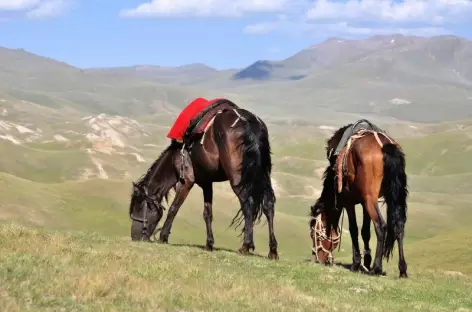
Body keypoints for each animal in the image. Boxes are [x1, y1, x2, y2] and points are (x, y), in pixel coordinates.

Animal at [127, 98, 278, 260]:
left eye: (139, 207)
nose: (134, 237)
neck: (175, 158)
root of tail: (248, 121)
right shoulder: (206, 183)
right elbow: (207, 213)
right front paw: (209, 244)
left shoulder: (187, 181)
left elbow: (174, 208)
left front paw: (163, 237)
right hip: (263, 173)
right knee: (268, 204)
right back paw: (273, 251)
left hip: (238, 177)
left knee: (247, 203)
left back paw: (245, 246)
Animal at [310, 122, 410, 278]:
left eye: (313, 233)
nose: (316, 259)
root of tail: (386, 145)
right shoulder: (364, 202)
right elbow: (365, 231)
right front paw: (366, 262)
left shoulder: (349, 202)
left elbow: (354, 230)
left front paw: (356, 264)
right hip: (388, 196)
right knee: (398, 226)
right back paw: (402, 269)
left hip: (370, 199)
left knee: (381, 226)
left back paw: (377, 267)